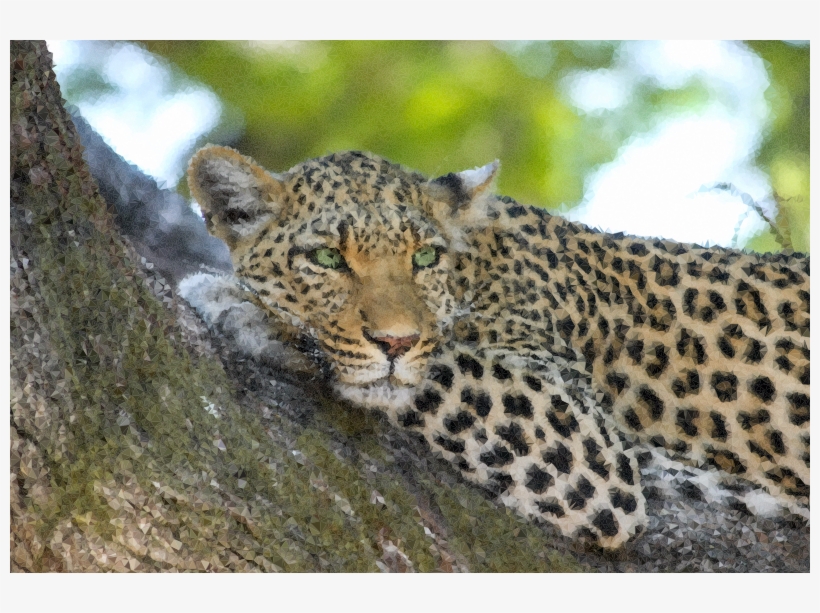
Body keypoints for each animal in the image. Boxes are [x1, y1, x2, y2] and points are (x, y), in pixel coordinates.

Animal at [185, 145, 809, 549]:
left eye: (424, 258)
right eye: (326, 258)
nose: (395, 340)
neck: (477, 267)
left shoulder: (585, 442)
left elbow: (444, 367)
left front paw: (242, 306)